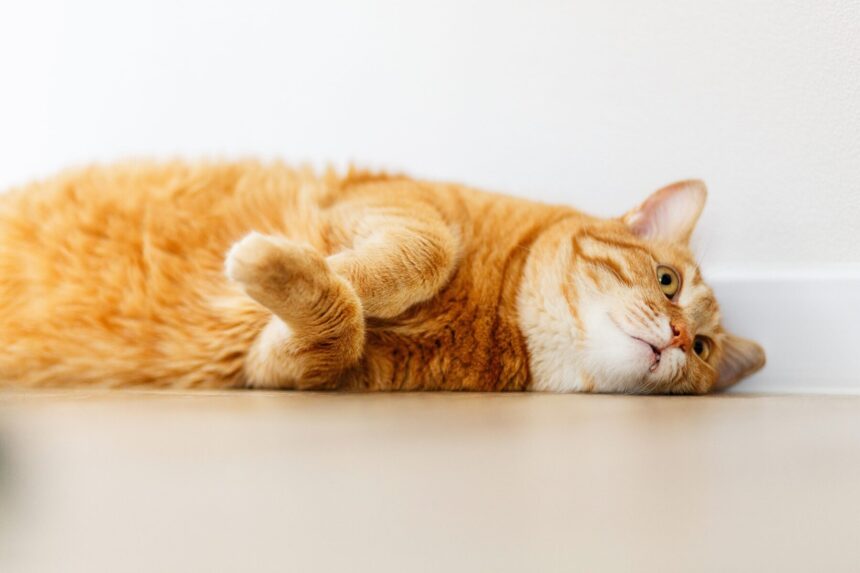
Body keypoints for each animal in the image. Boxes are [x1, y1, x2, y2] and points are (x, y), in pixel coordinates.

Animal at [0, 162, 764, 394]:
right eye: (667, 282)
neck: (491, 314)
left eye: (702, 349)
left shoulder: (275, 368)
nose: (677, 335)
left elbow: (332, 329)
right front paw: (334, 265)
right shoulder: (384, 196)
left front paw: (289, 270)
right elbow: (429, 246)